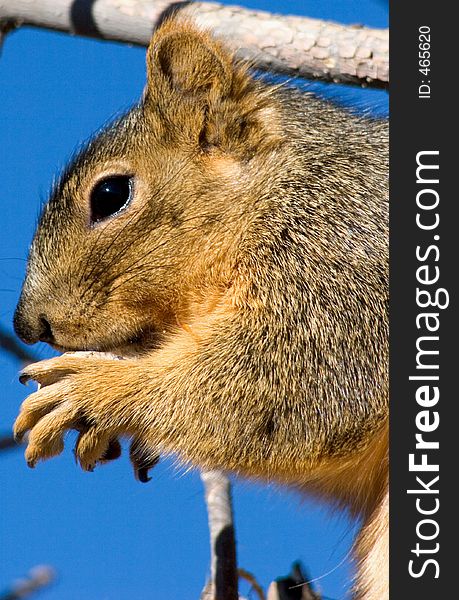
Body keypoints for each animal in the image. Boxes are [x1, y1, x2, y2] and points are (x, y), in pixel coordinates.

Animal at [11, 17, 388, 600]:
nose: (27, 324)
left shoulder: (346, 263)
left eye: (111, 193)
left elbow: (301, 387)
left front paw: (97, 390)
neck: (275, 192)